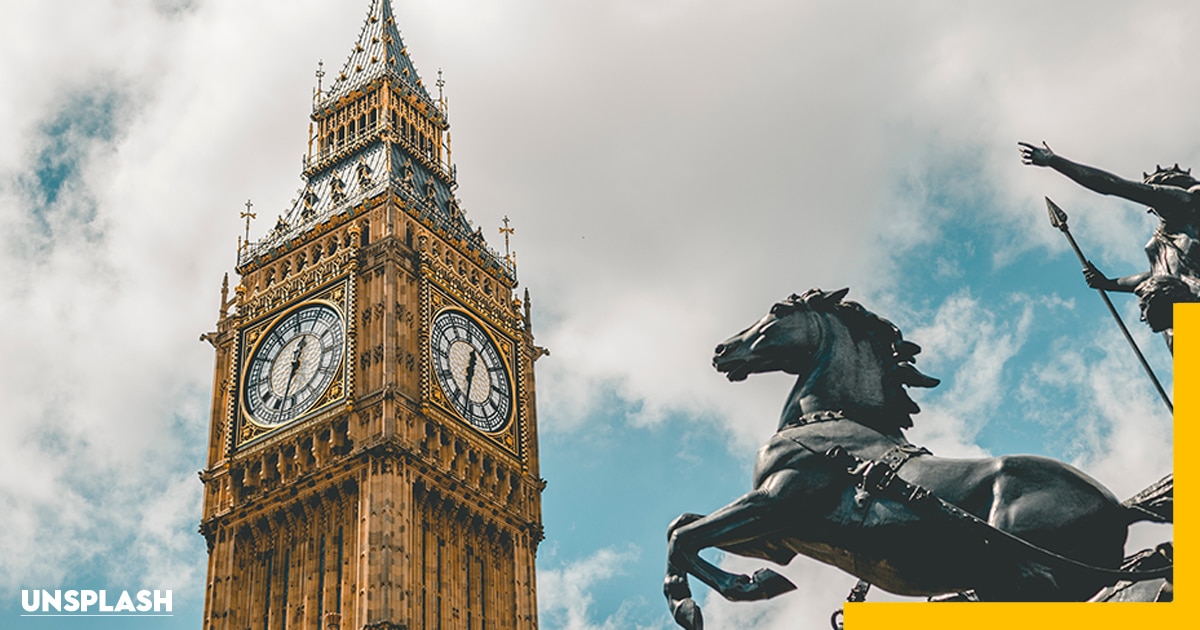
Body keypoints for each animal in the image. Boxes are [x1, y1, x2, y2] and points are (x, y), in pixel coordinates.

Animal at [667, 286, 1161, 624]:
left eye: (777, 310)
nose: (721, 351)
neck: (828, 428)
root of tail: (1118, 508)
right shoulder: (780, 537)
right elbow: (684, 525)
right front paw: (757, 581)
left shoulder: (775, 503)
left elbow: (682, 537)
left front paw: (698, 602)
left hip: (1029, 581)